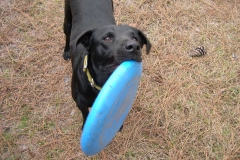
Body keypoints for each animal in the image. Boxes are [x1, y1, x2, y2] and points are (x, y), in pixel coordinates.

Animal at [62, 0, 151, 130]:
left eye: (135, 38)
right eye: (107, 38)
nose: (134, 46)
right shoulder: (80, 104)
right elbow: (85, 114)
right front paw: (84, 126)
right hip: (67, 20)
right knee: (67, 34)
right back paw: (66, 51)